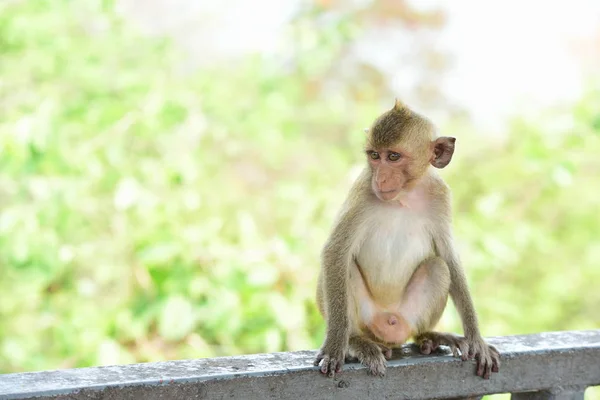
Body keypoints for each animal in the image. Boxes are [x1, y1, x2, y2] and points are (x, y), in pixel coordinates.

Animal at [312, 98, 500, 380]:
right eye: (374, 156)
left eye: (393, 156)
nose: (381, 178)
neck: (405, 195)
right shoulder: (363, 190)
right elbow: (336, 251)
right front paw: (335, 346)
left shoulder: (440, 196)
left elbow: (447, 256)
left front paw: (476, 340)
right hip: (366, 318)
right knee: (346, 268)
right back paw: (357, 342)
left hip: (405, 318)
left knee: (437, 267)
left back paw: (429, 336)